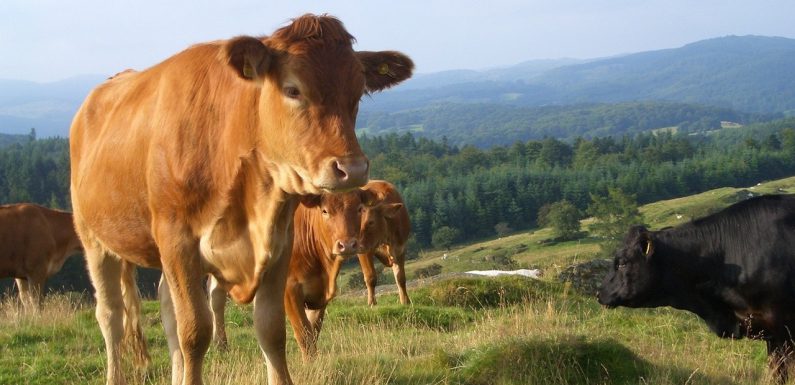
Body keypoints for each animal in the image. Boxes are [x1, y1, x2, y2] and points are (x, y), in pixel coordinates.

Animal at [208, 190, 364, 358]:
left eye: (359, 209)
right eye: (325, 210)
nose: (346, 245)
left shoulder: (319, 294)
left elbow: (313, 330)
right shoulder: (290, 289)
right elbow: (303, 332)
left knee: (216, 296)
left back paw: (221, 346)